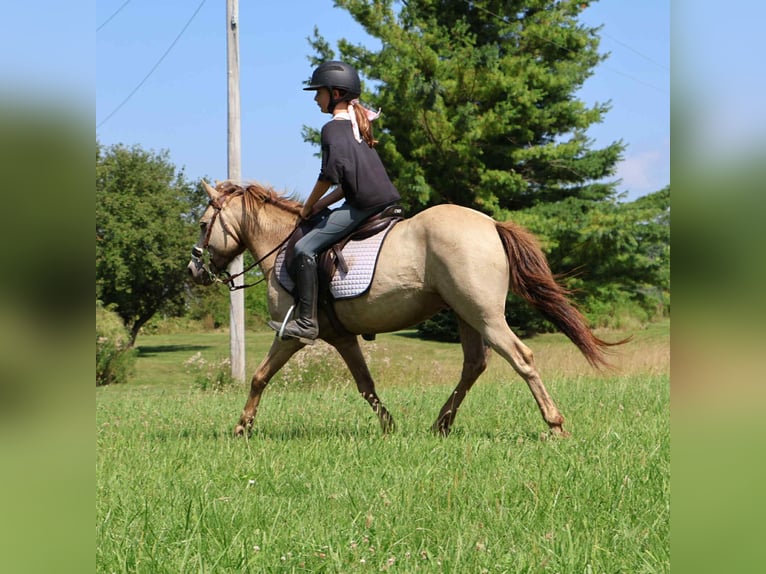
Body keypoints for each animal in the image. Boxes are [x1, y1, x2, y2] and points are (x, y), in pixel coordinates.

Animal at [187, 180, 623, 438]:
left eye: (204, 223)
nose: (194, 270)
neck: (283, 247)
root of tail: (490, 225)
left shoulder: (291, 335)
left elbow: (259, 376)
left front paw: (242, 426)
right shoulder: (343, 338)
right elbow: (366, 385)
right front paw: (389, 426)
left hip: (484, 315)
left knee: (521, 358)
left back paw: (554, 423)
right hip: (466, 315)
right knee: (474, 365)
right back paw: (440, 423)